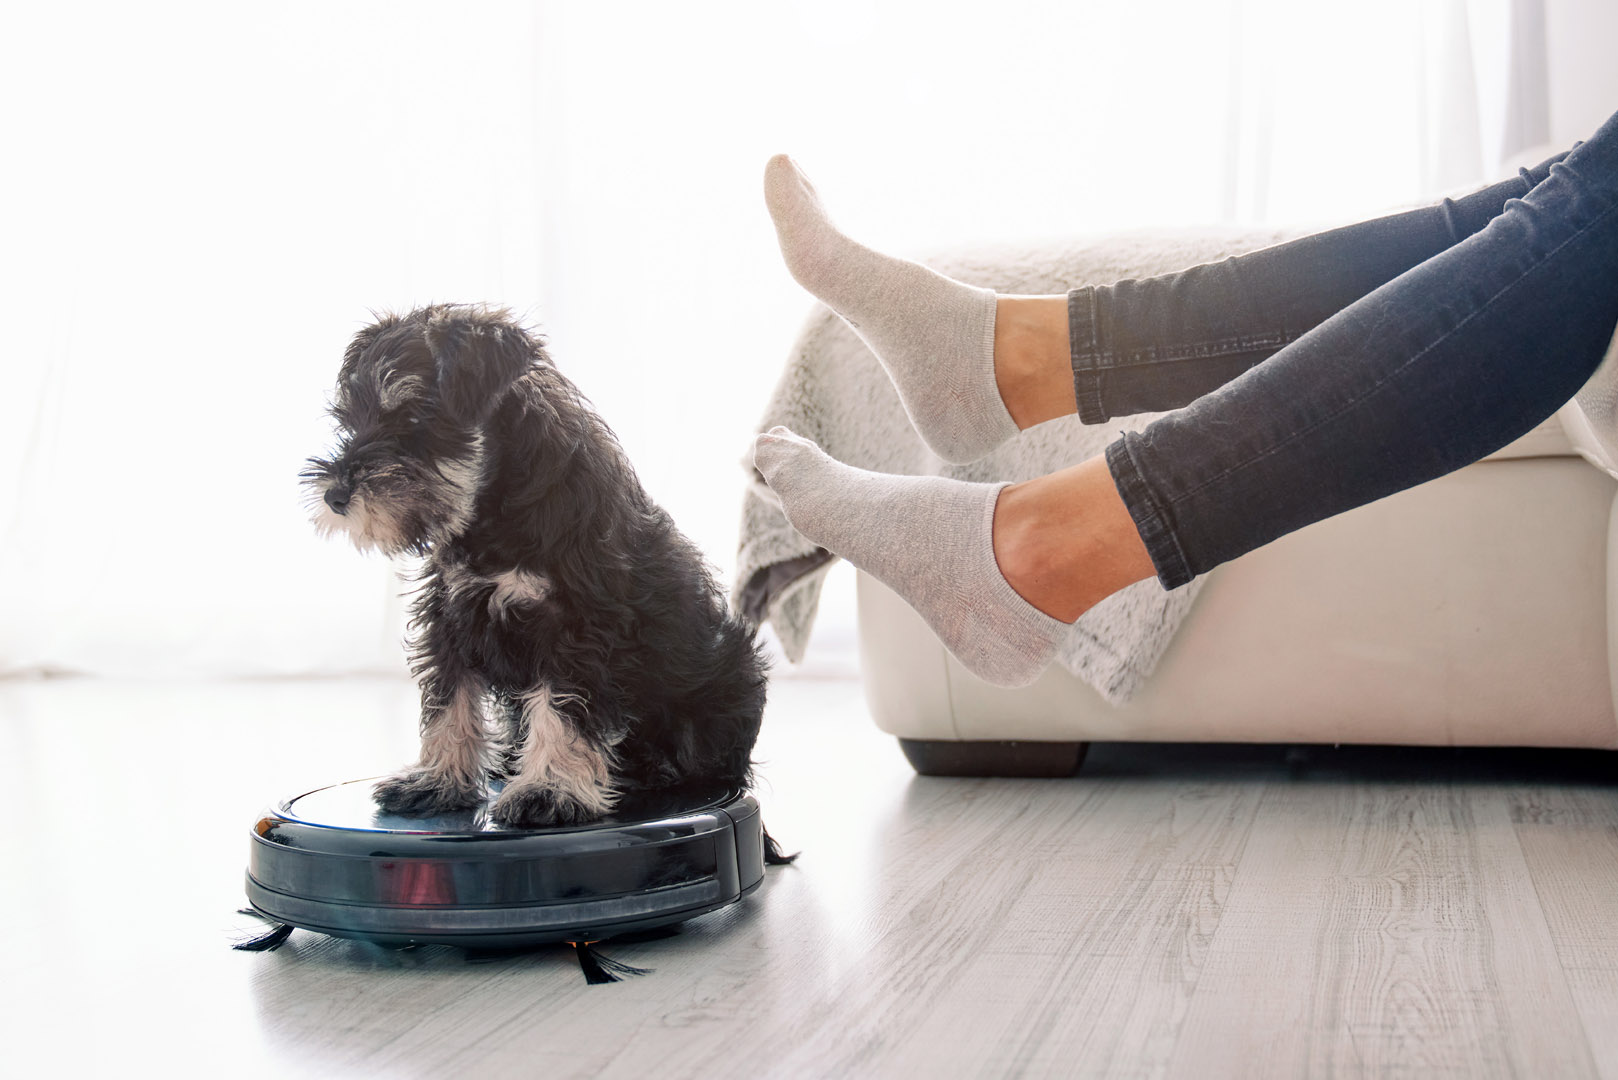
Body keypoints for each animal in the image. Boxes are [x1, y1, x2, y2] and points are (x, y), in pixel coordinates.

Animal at [302, 304, 770, 829]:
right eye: (349, 420)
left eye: (411, 416)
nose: (335, 496)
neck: (492, 508)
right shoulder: (449, 616)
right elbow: (448, 701)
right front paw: (436, 780)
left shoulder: (575, 628)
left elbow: (561, 709)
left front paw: (549, 790)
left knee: (712, 768)